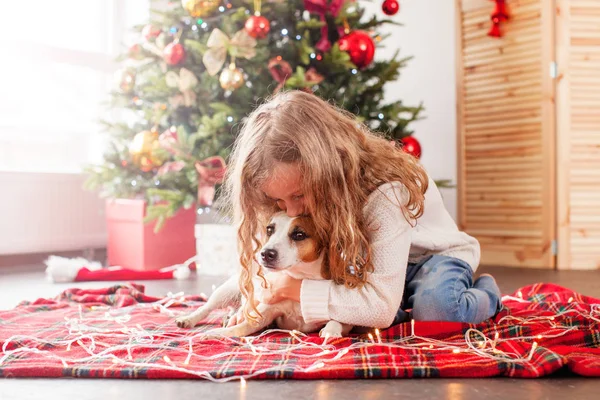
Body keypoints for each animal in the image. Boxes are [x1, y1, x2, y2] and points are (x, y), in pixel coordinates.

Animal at [175, 211, 352, 340]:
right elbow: (241, 327)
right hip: (225, 291)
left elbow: (336, 320)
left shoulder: (343, 318)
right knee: (206, 307)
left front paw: (331, 331)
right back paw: (188, 320)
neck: (299, 278)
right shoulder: (264, 312)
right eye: (269, 229)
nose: (266, 253)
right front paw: (219, 333)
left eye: (299, 234)